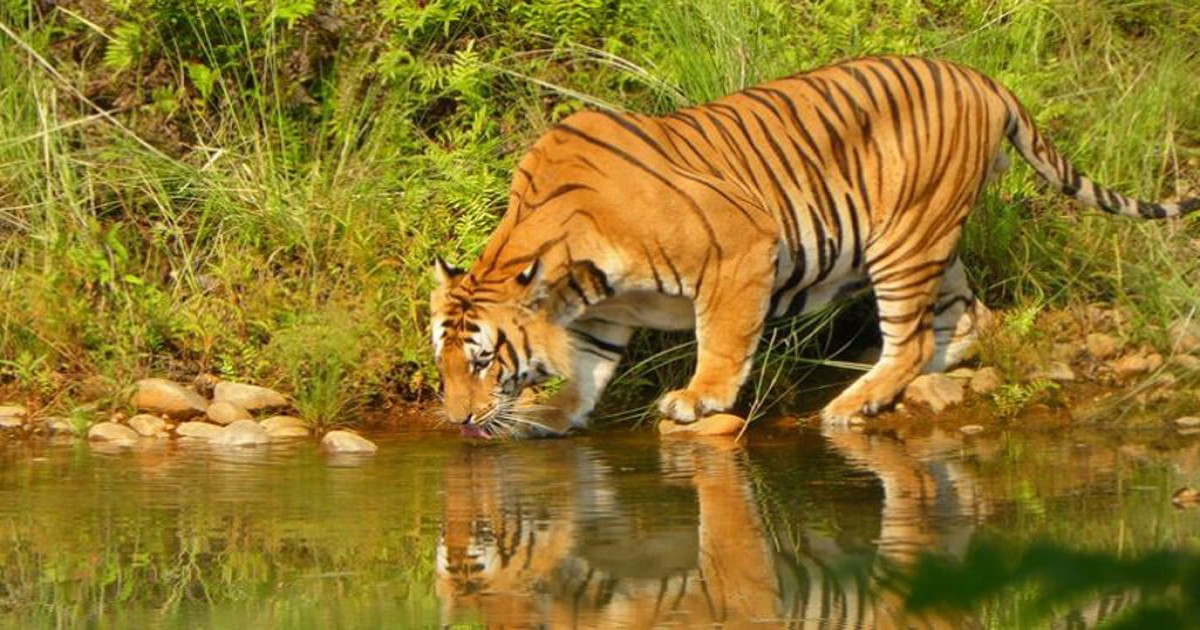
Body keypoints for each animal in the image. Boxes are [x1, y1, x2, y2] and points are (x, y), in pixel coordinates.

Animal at [430, 54, 1200, 438]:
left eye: (483, 359)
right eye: (443, 364)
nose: (457, 420)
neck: (569, 277)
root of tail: (979, 76)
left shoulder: (740, 247)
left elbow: (722, 339)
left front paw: (699, 400)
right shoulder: (602, 314)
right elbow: (588, 369)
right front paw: (554, 414)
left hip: (902, 239)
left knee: (910, 337)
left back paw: (851, 404)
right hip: (933, 240)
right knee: (961, 319)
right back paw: (899, 384)